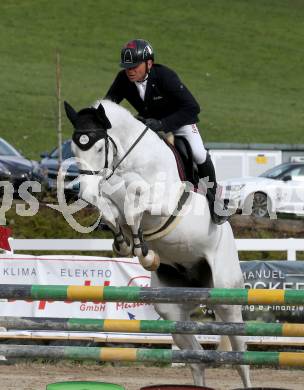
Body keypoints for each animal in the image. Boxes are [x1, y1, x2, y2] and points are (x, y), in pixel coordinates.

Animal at [64, 98, 252, 386]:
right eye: (74, 147)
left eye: (98, 146)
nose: (83, 192)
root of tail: (200, 286)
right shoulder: (108, 197)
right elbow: (110, 210)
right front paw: (125, 243)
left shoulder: (164, 203)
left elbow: (134, 201)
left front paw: (143, 252)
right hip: (172, 309)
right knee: (196, 358)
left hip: (226, 296)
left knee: (241, 359)